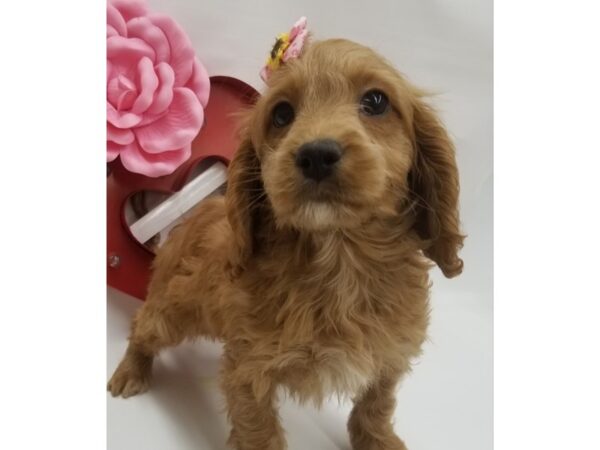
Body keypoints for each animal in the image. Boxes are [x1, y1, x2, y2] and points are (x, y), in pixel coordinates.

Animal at [108, 39, 464, 450]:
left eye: (376, 101)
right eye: (281, 114)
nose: (316, 155)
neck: (340, 260)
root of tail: (194, 212)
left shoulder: (388, 352)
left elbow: (376, 403)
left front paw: (378, 441)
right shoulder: (248, 370)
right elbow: (258, 431)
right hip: (174, 307)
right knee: (143, 327)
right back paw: (130, 371)